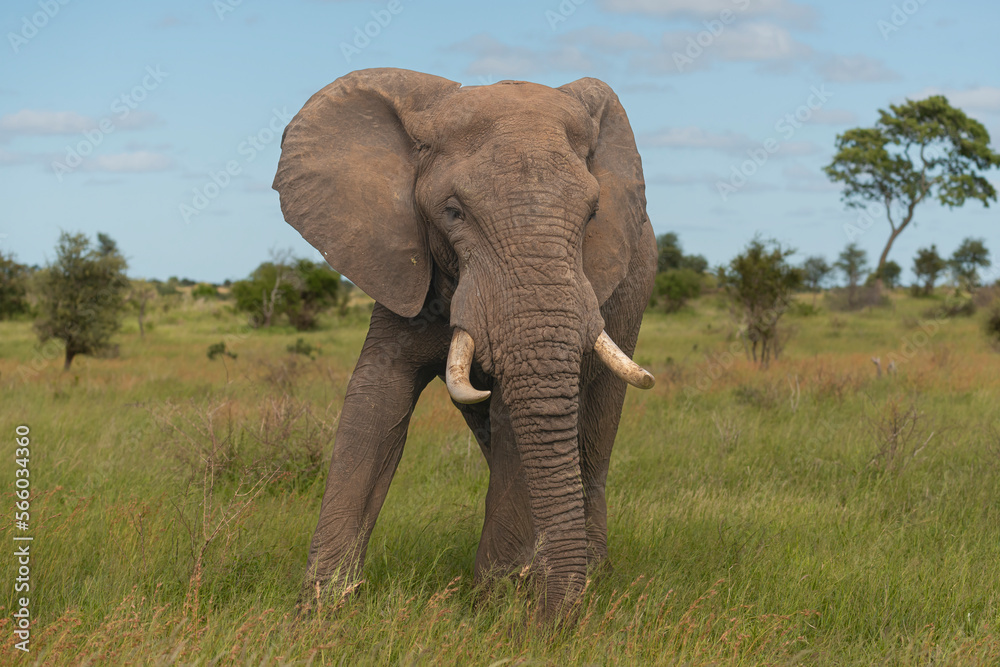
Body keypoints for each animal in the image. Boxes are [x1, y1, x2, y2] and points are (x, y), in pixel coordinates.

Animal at [272, 67, 656, 619]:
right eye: (453, 213)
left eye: (592, 214)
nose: (546, 624)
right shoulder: (401, 257)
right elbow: (377, 396)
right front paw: (323, 606)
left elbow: (519, 411)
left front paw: (494, 602)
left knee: (592, 438)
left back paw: (588, 571)